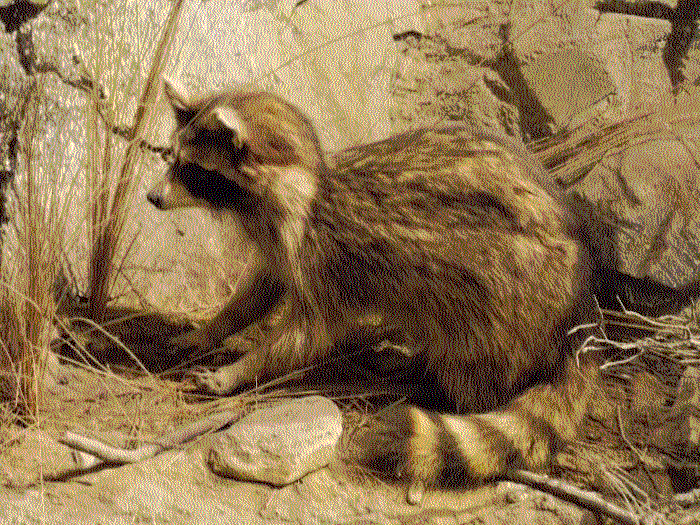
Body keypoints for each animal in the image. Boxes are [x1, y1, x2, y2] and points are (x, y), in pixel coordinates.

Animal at [148, 78, 700, 500]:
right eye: (171, 158)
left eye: (193, 170)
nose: (152, 197)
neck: (298, 185)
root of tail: (581, 318)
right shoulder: (280, 244)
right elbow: (259, 290)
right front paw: (209, 331)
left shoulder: (326, 255)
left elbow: (307, 334)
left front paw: (241, 368)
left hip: (509, 287)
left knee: (474, 355)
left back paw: (444, 389)